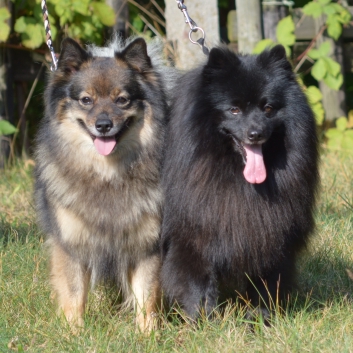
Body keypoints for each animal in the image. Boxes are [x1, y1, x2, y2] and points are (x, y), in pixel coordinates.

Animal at [161, 44, 318, 320]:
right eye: (234, 109)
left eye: (268, 108)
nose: (256, 134)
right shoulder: (193, 235)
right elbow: (197, 283)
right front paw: (202, 320)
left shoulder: (272, 237)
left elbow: (266, 283)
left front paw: (261, 319)